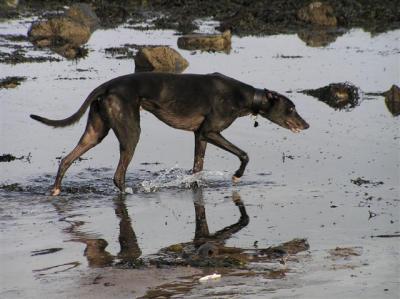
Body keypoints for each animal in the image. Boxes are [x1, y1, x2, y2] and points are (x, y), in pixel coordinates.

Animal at [31, 72, 310, 195]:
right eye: (292, 108)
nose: (307, 125)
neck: (245, 96)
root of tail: (107, 85)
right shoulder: (211, 131)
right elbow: (244, 154)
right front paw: (237, 175)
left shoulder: (200, 136)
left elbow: (197, 168)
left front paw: (195, 185)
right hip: (131, 132)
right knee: (118, 175)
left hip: (95, 132)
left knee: (66, 159)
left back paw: (56, 189)